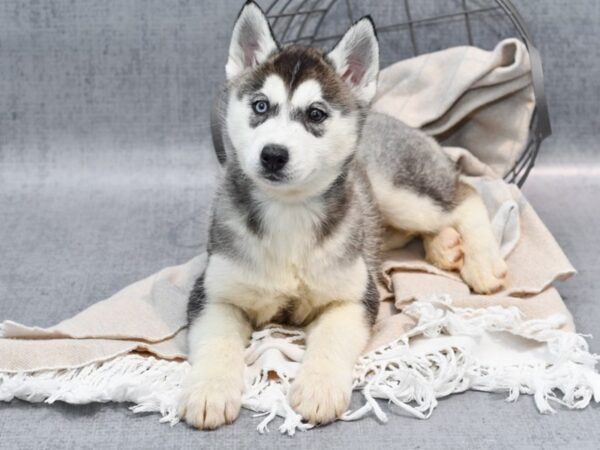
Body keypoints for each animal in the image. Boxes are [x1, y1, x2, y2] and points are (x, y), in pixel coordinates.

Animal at [178, 1, 506, 430]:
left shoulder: (352, 296)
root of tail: (395, 120)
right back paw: (445, 247)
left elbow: (332, 339)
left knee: (466, 195)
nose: (273, 154)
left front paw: (319, 388)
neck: (289, 211)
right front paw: (210, 390)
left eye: (316, 114)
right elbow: (216, 341)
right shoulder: (214, 292)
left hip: (399, 191)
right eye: (260, 106)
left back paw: (481, 261)